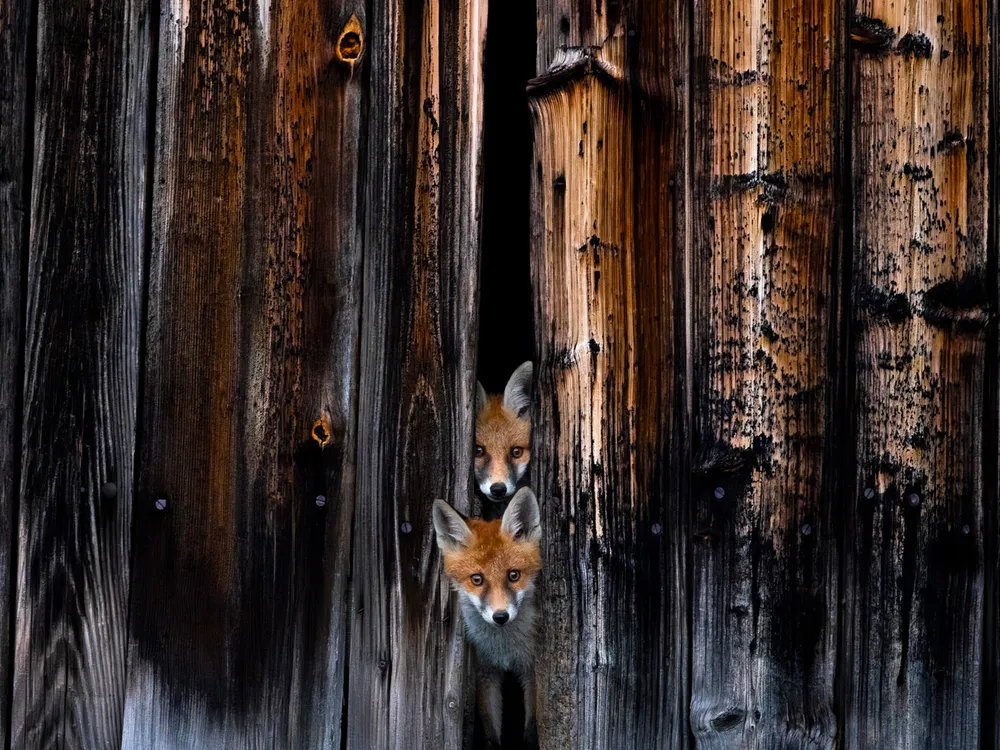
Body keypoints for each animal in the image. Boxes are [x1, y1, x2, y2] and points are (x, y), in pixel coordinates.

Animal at [432, 487, 541, 748]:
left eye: (514, 575)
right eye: (477, 579)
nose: (500, 616)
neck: (505, 647)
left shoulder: (531, 672)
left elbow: (531, 731)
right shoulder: (485, 674)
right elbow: (491, 734)